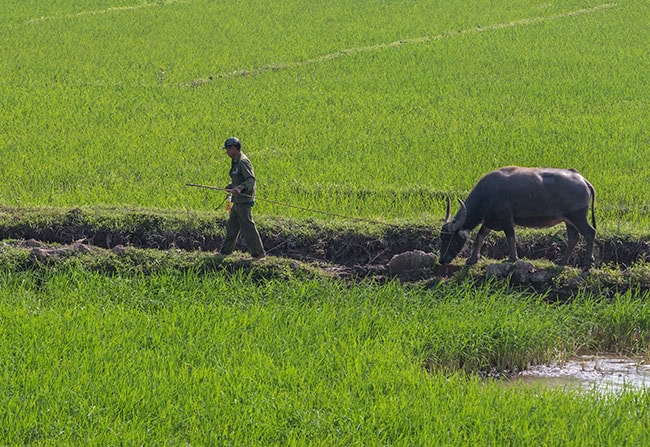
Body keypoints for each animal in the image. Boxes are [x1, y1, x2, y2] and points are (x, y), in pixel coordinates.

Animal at [438, 165, 596, 268]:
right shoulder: (490, 221)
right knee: (573, 238)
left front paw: (512, 258)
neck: (487, 194)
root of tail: (583, 180)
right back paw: (562, 262)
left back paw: (587, 264)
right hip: (568, 220)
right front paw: (472, 259)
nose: (442, 260)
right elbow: (480, 236)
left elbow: (511, 238)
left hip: (578, 217)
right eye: (442, 238)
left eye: (451, 239)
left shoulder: (507, 221)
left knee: (590, 233)